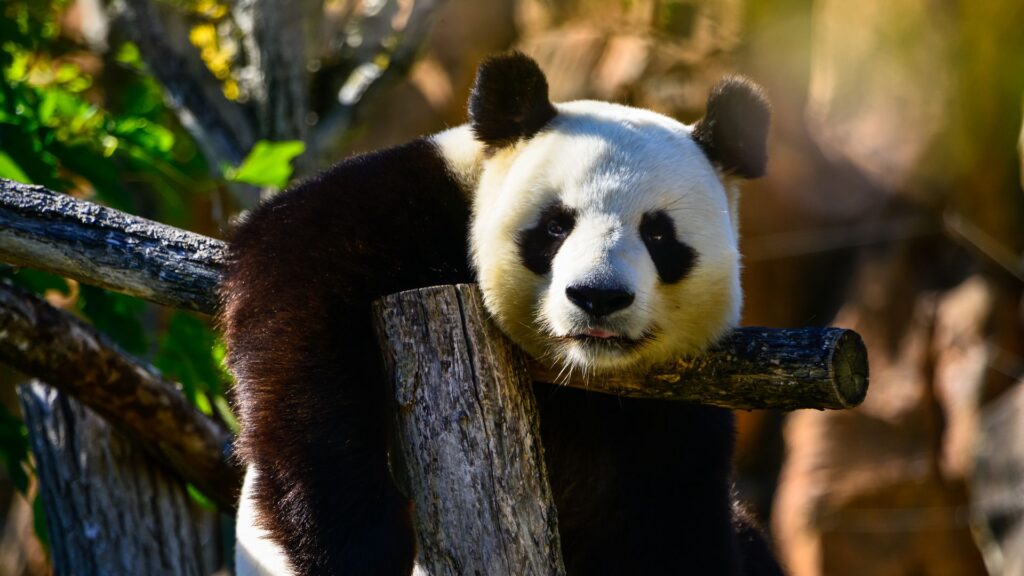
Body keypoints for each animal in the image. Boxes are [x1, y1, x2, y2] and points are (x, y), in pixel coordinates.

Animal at [222, 52, 781, 575]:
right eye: (555, 226)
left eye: (659, 234)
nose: (597, 296)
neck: (577, 375)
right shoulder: (406, 207)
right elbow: (298, 315)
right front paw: (361, 549)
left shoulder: (674, 422)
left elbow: (672, 522)